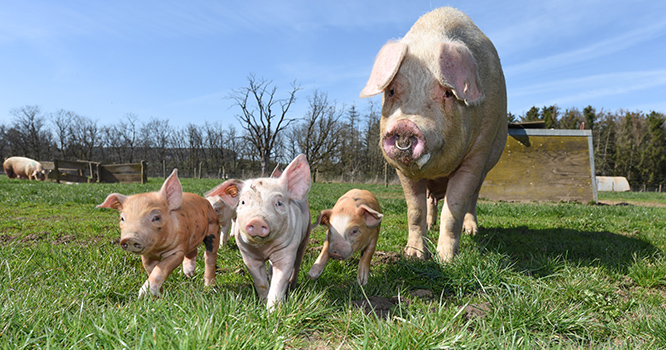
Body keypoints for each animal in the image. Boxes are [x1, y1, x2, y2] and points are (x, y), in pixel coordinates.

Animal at [96, 170, 220, 298]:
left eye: (156, 217)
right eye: (122, 218)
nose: (130, 238)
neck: (157, 249)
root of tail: (206, 201)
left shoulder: (177, 250)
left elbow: (161, 267)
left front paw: (142, 294)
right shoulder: (147, 256)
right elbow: (151, 270)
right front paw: (157, 295)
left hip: (214, 228)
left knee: (210, 257)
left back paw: (208, 287)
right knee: (193, 251)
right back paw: (189, 274)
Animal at [206, 153, 310, 308]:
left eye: (279, 203)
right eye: (243, 202)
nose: (257, 221)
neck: (263, 248)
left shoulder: (287, 250)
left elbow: (280, 281)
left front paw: (272, 311)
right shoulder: (247, 254)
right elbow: (259, 281)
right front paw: (262, 302)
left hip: (305, 235)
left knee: (297, 264)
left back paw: (292, 286)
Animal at [360, 6, 506, 262]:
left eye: (447, 93)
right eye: (391, 90)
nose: (406, 125)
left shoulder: (477, 153)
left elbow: (455, 207)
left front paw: (446, 259)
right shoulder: (403, 171)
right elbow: (415, 210)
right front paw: (414, 255)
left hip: (487, 166)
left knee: (472, 199)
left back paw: (472, 231)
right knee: (430, 202)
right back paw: (431, 226)